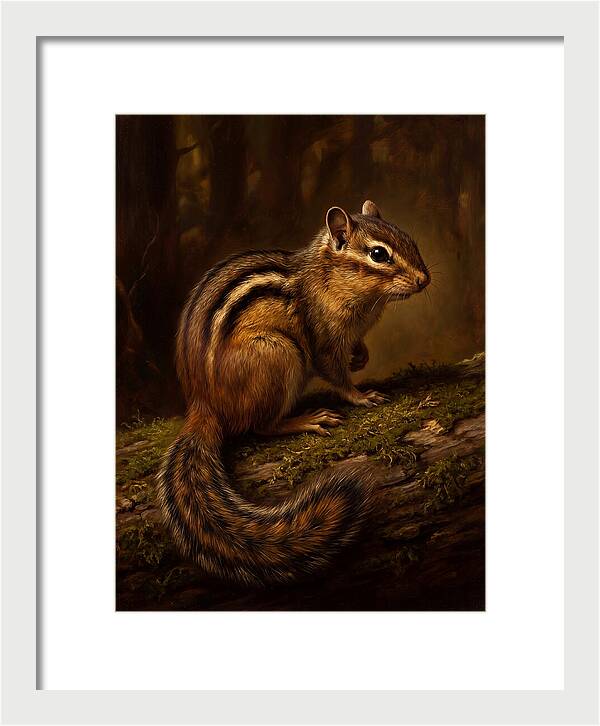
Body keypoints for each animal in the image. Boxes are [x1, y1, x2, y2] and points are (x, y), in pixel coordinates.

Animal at [158, 200, 430, 586]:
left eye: (409, 239)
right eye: (379, 254)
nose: (425, 279)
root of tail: (204, 404)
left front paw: (361, 357)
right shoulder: (323, 339)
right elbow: (335, 374)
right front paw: (361, 396)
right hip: (279, 354)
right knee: (260, 426)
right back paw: (307, 420)